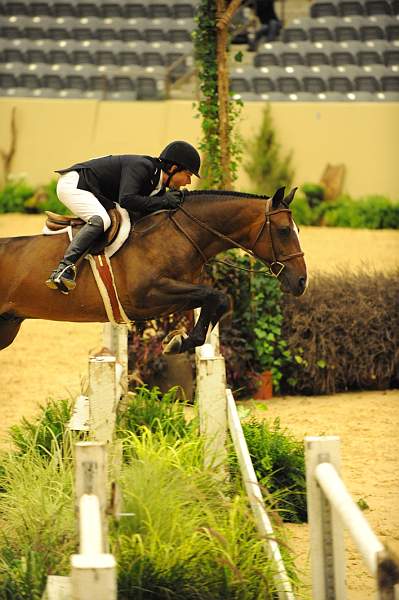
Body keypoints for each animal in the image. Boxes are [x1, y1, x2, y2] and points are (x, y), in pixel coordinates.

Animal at [0, 188, 310, 354]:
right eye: (284, 230)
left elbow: (217, 299)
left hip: (7, 327)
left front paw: (182, 341)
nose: (301, 282)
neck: (181, 234)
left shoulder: (174, 295)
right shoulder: (147, 297)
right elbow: (217, 296)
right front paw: (179, 343)